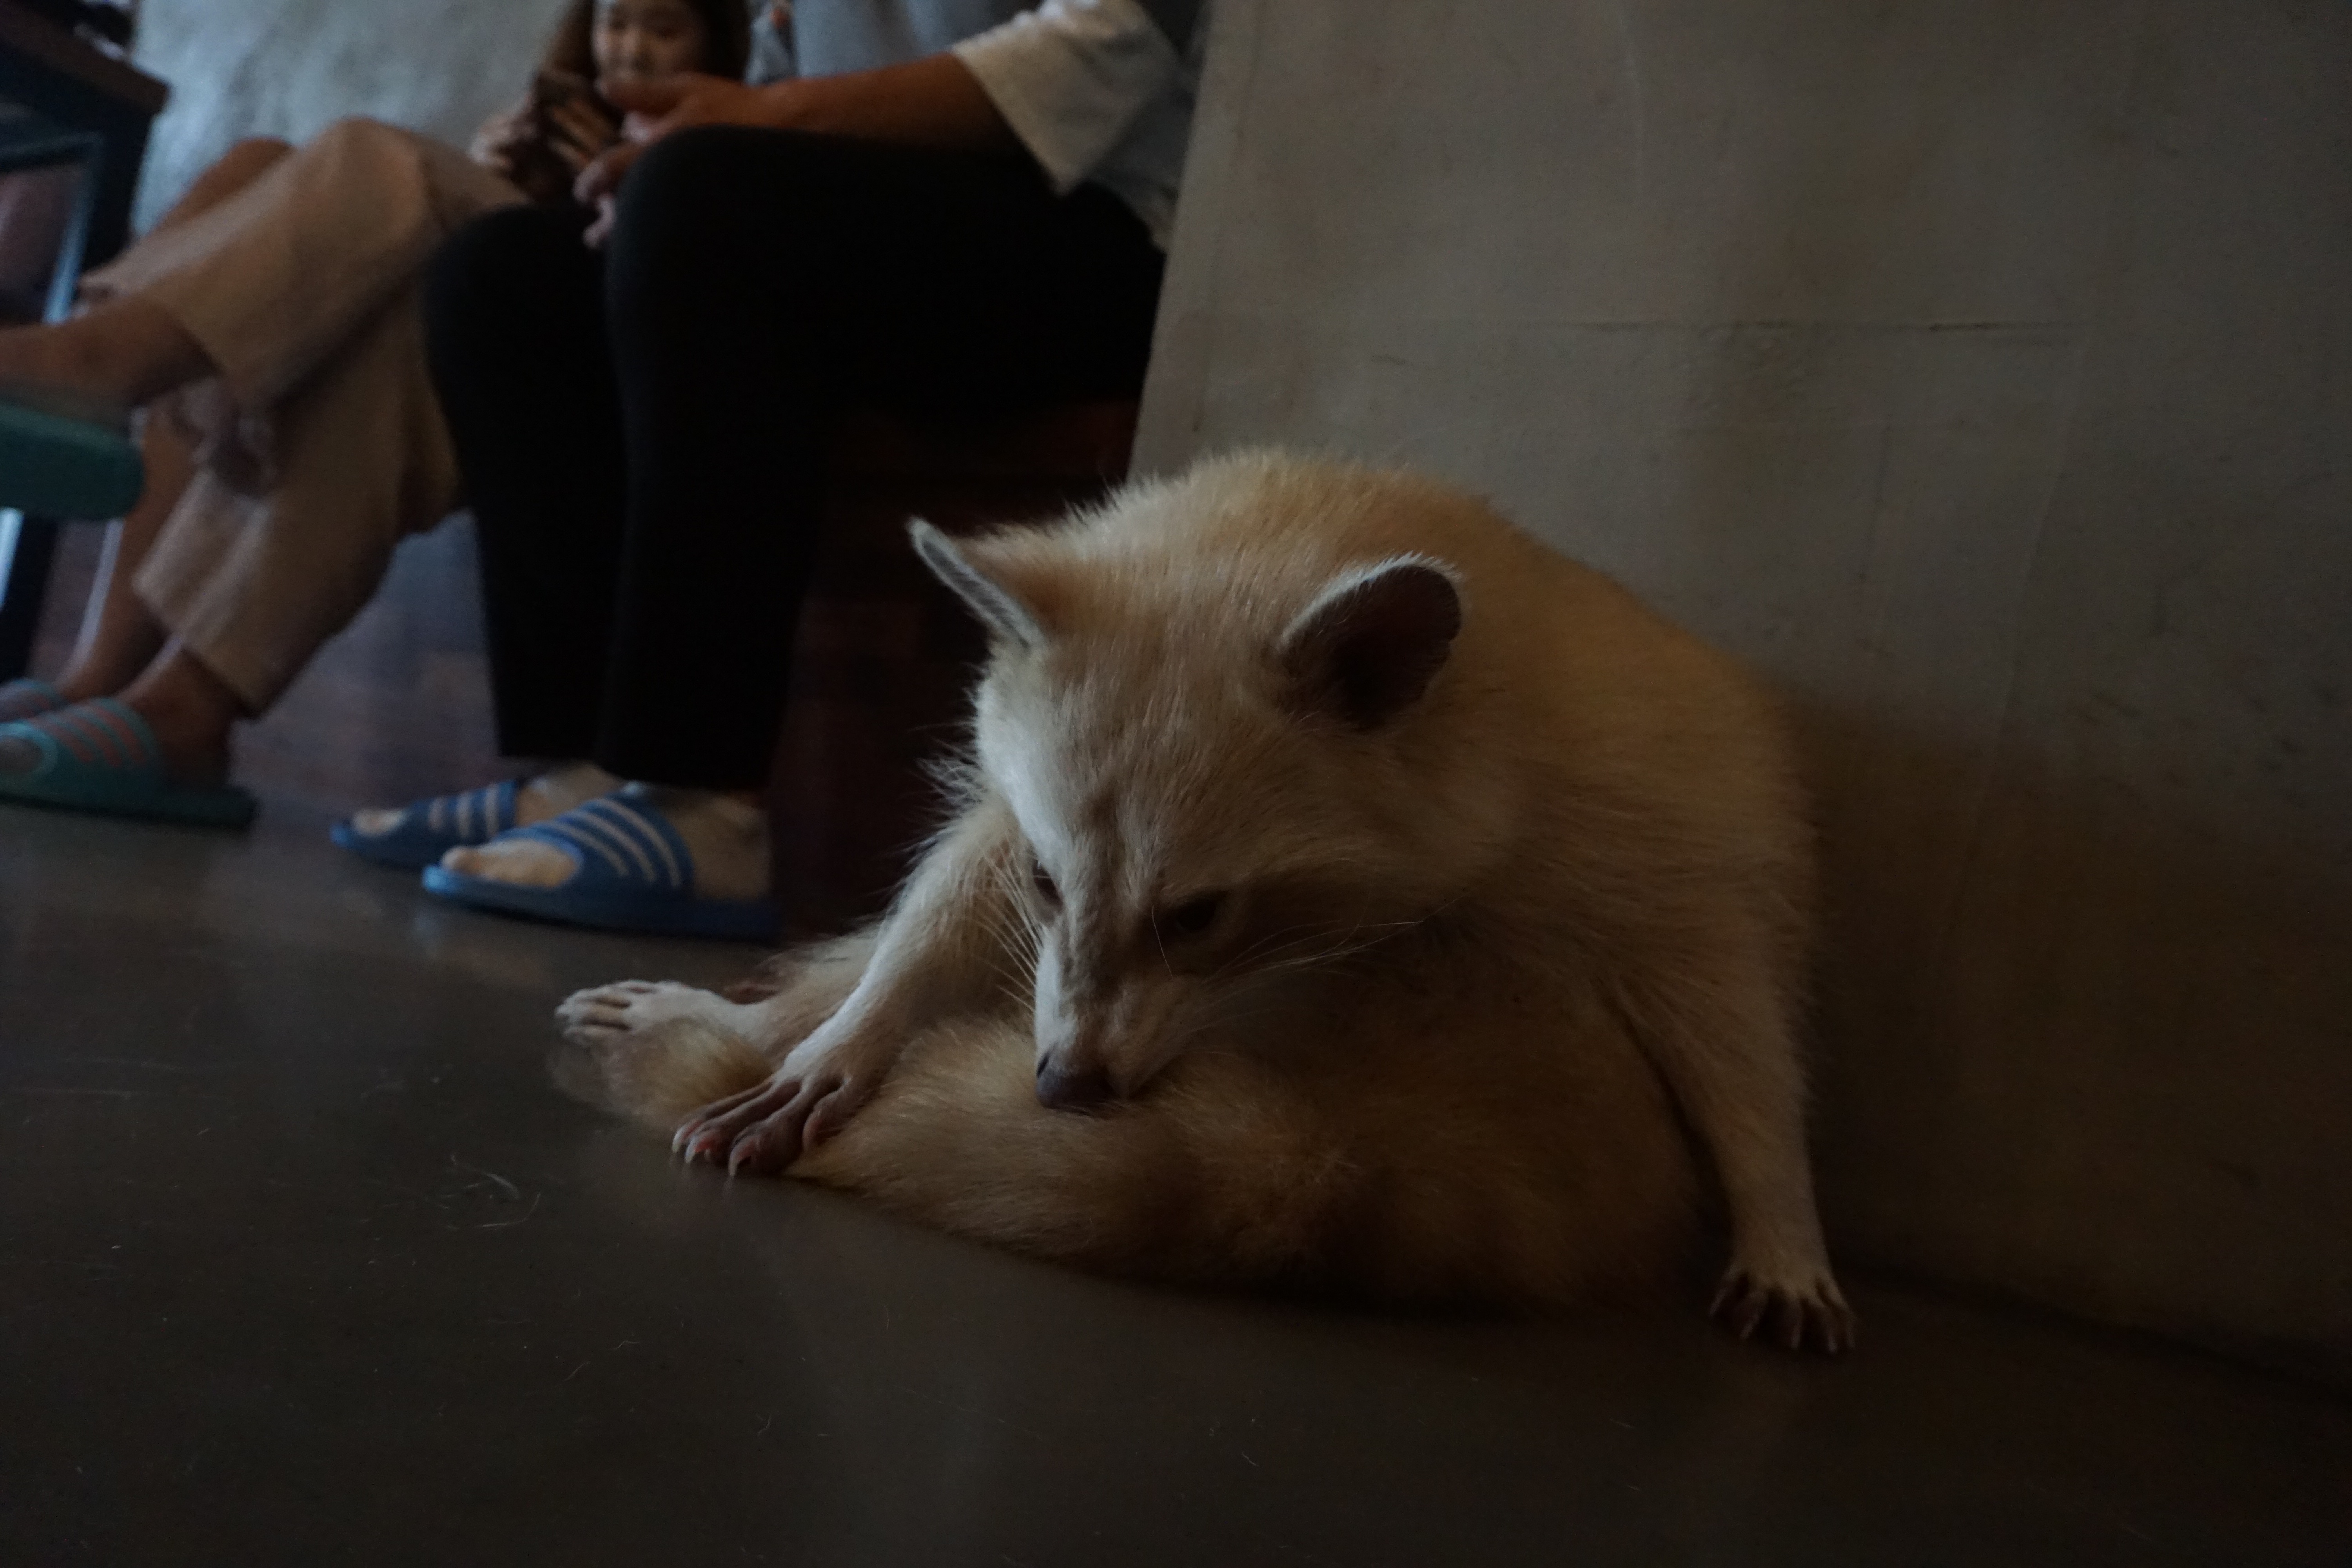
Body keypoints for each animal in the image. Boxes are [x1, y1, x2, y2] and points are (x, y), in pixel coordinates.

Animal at [556, 450, 1853, 1350]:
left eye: (1198, 916)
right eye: (1051, 880)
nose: (1065, 1087)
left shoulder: (1654, 823)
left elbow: (1731, 1022)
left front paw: (1778, 1199)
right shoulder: (1023, 810)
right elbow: (961, 889)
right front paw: (853, 1025)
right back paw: (775, 1012)